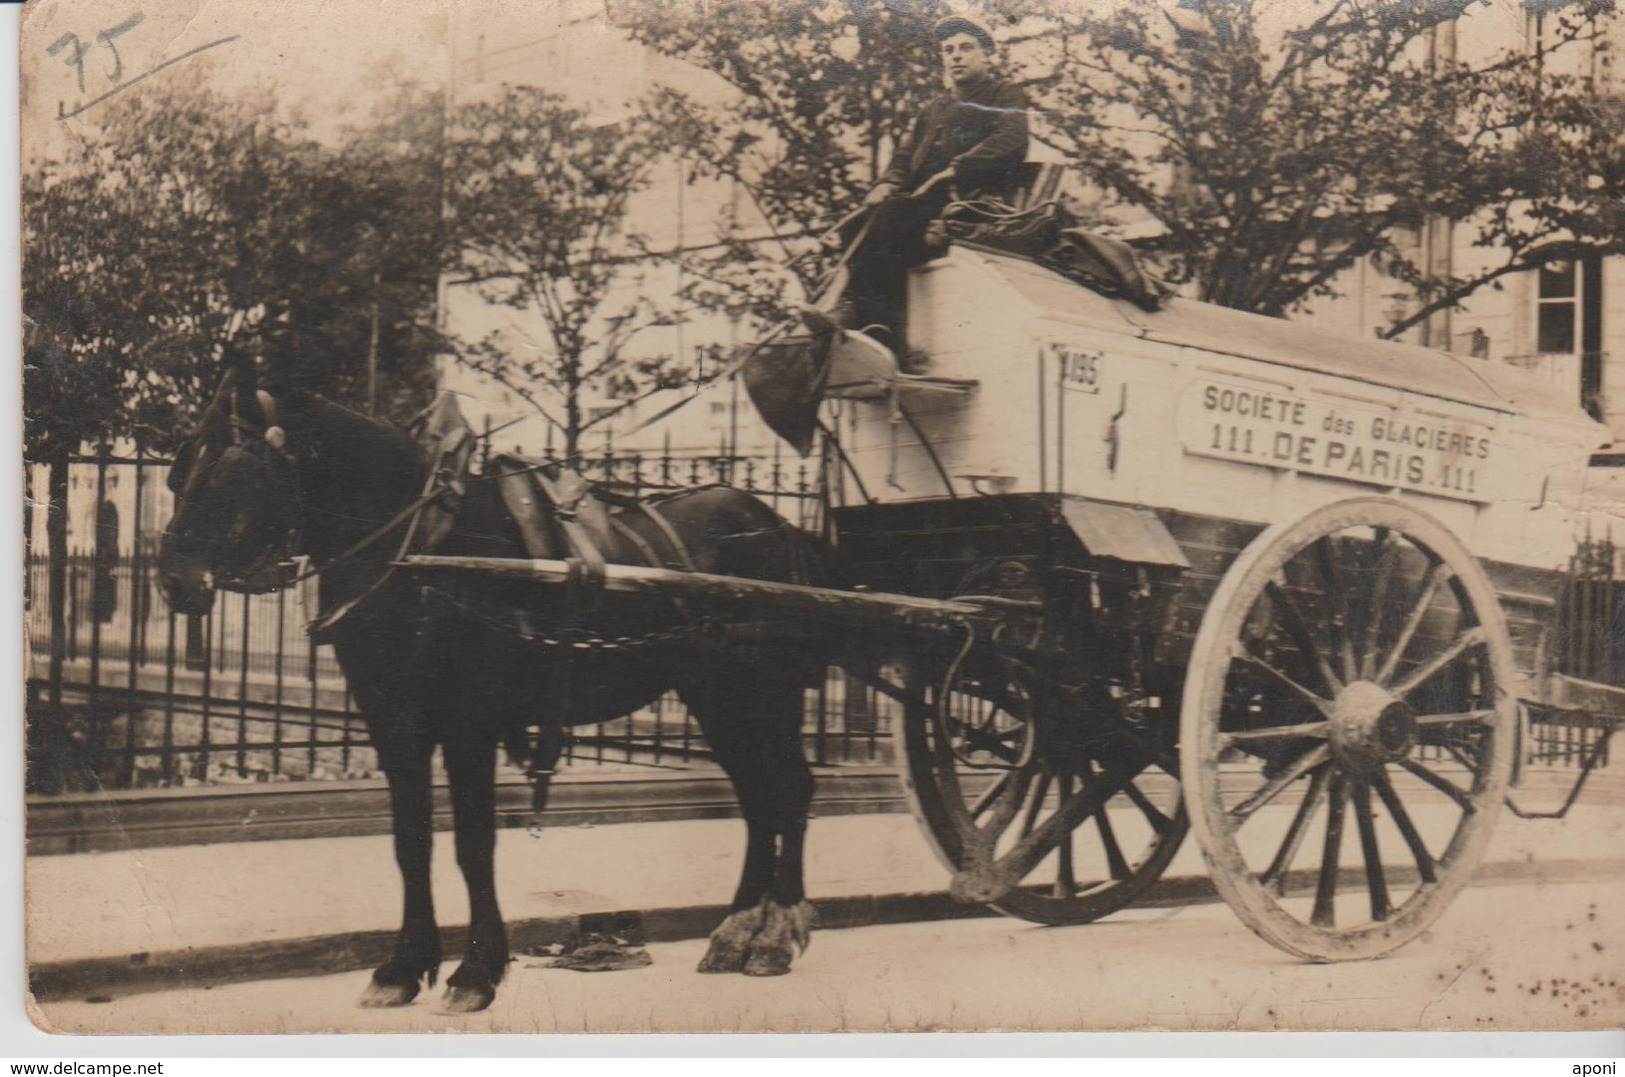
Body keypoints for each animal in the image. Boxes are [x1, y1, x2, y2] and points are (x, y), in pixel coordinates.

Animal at [155, 367, 825, 1013]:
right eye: (179, 472)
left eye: (234, 471)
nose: (173, 582)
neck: (420, 549)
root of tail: (772, 521)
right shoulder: (394, 723)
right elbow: (410, 842)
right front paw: (402, 968)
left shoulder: (467, 724)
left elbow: (473, 845)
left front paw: (475, 972)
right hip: (719, 701)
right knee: (759, 798)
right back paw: (735, 934)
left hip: (760, 693)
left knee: (789, 790)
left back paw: (773, 937)